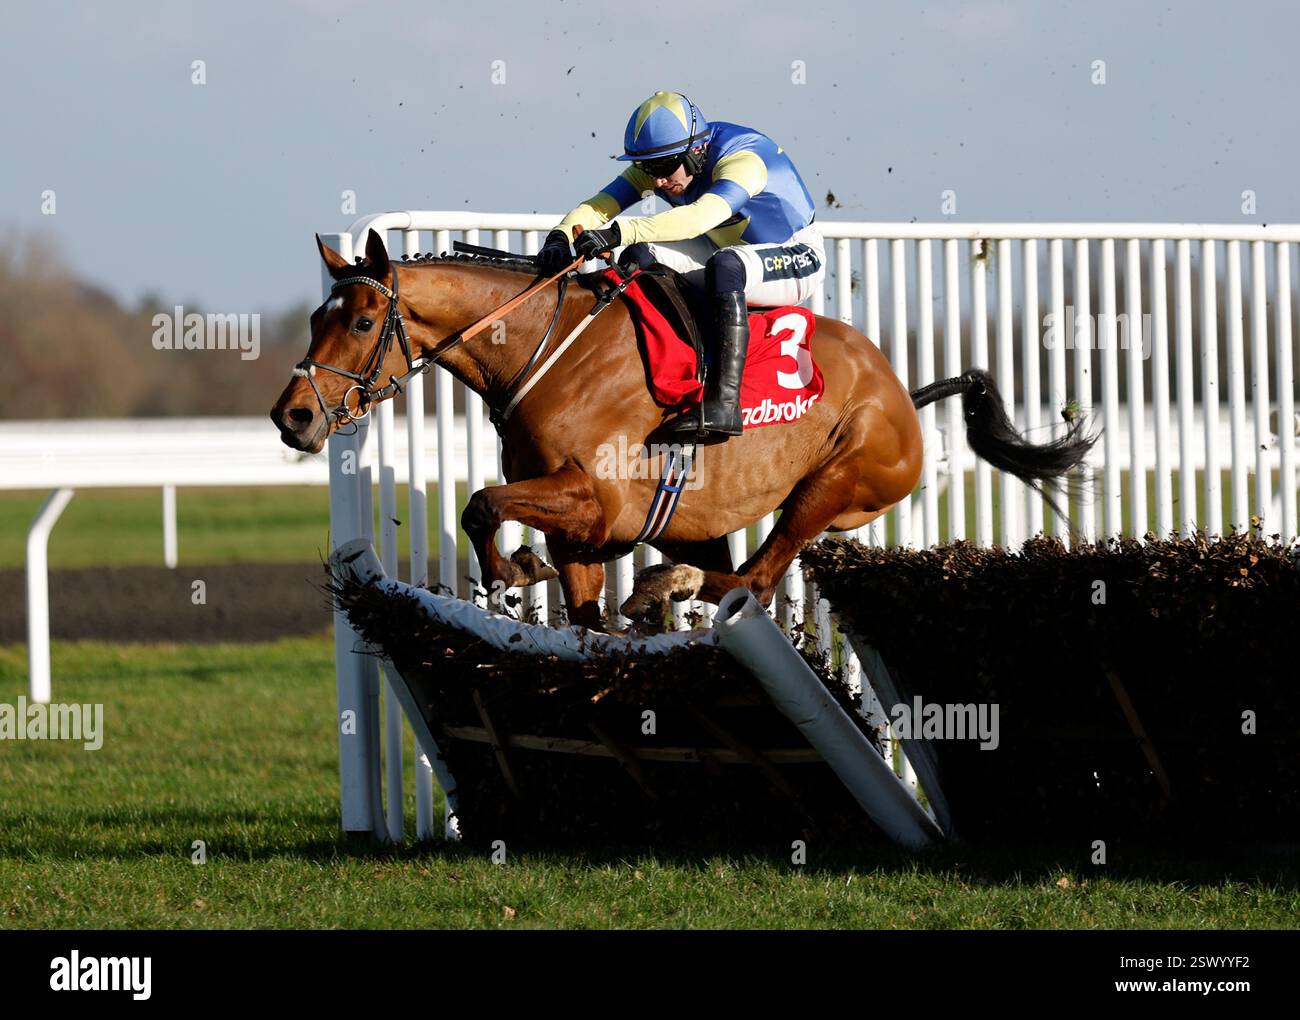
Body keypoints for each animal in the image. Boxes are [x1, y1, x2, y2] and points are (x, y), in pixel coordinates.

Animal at [271, 228, 1096, 630]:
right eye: (317, 318)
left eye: (365, 322)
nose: (293, 415)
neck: (546, 348)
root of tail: (900, 386)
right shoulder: (585, 537)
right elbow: (583, 615)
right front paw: (526, 574)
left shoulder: (597, 501)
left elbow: (479, 505)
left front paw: (512, 572)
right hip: (708, 521)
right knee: (741, 570)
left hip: (836, 482)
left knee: (759, 574)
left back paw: (669, 583)